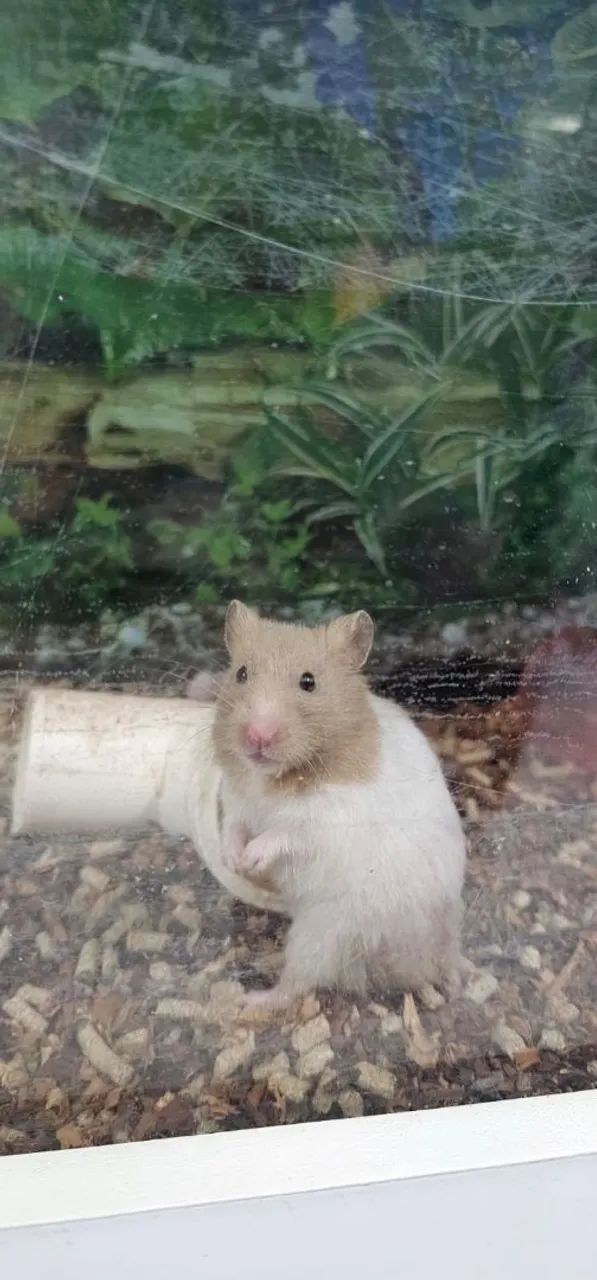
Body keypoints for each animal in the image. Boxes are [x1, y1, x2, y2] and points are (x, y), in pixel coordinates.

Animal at [211, 600, 466, 1008]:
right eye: (241, 673)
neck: (272, 777)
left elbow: (283, 834)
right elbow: (233, 827)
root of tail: (435, 956)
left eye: (308, 682)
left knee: (296, 985)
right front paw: (234, 860)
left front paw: (251, 859)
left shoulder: (325, 821)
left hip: (325, 932)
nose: (257, 736)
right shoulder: (236, 799)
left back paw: (250, 998)